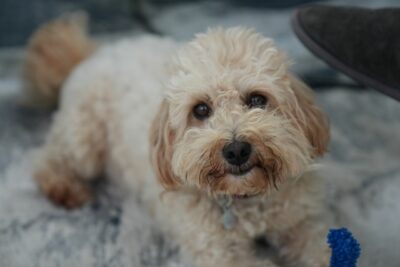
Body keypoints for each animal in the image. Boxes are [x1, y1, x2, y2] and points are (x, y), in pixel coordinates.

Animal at [25, 14, 332, 267]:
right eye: (201, 109)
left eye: (257, 99)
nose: (236, 150)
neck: (245, 200)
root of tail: (96, 52)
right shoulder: (218, 253)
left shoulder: (302, 223)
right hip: (83, 138)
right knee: (47, 158)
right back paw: (63, 187)